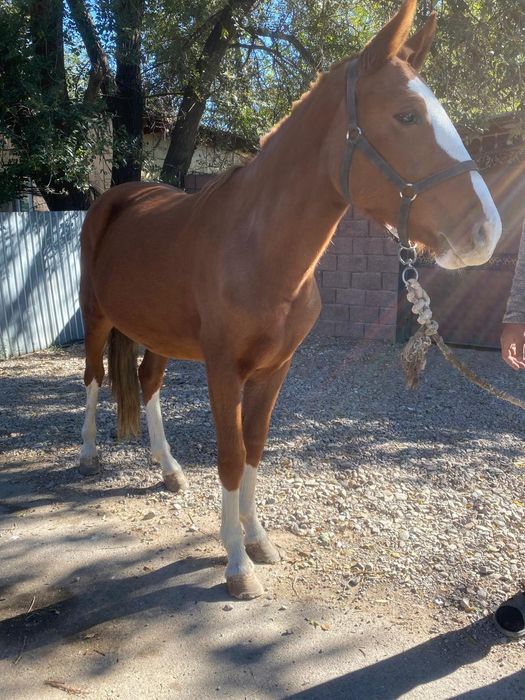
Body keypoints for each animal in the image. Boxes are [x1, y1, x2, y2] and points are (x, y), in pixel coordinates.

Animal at [78, 0, 502, 600]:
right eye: (406, 116)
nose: (486, 232)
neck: (259, 248)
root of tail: (115, 197)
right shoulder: (223, 369)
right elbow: (231, 456)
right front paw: (236, 565)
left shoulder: (275, 368)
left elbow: (254, 447)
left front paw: (257, 541)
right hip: (96, 316)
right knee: (93, 376)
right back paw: (89, 455)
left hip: (159, 332)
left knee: (147, 382)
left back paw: (168, 469)